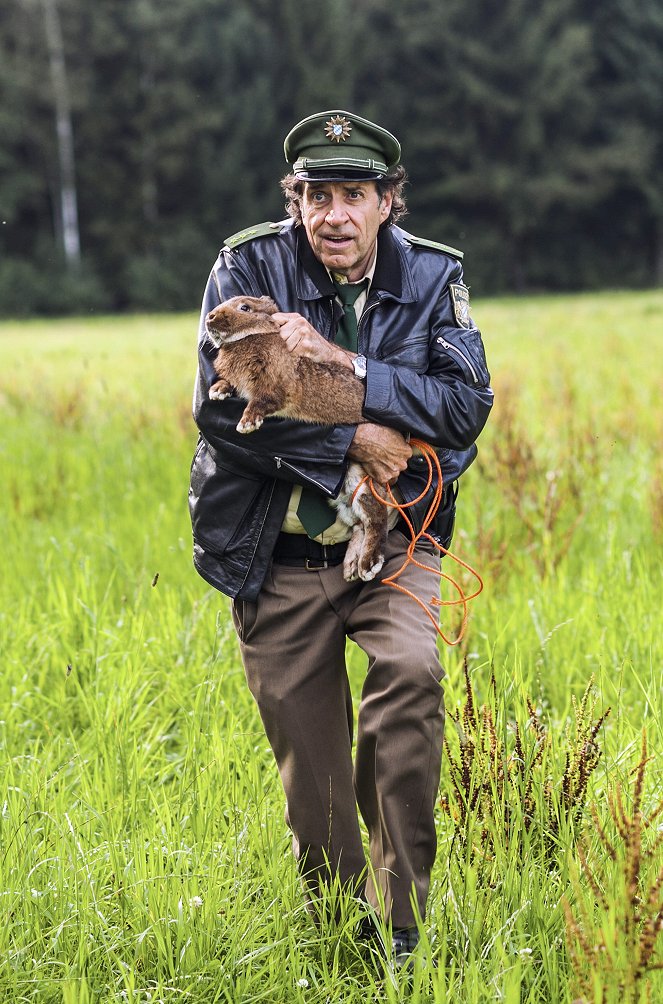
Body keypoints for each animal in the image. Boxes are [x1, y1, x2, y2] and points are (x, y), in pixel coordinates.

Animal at [202, 293, 387, 582]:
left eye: (245, 307)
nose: (210, 317)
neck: (252, 336)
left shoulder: (276, 387)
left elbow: (263, 401)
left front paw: (246, 424)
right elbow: (230, 385)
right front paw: (217, 391)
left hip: (362, 480)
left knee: (376, 519)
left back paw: (368, 565)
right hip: (344, 496)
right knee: (359, 524)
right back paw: (351, 566)